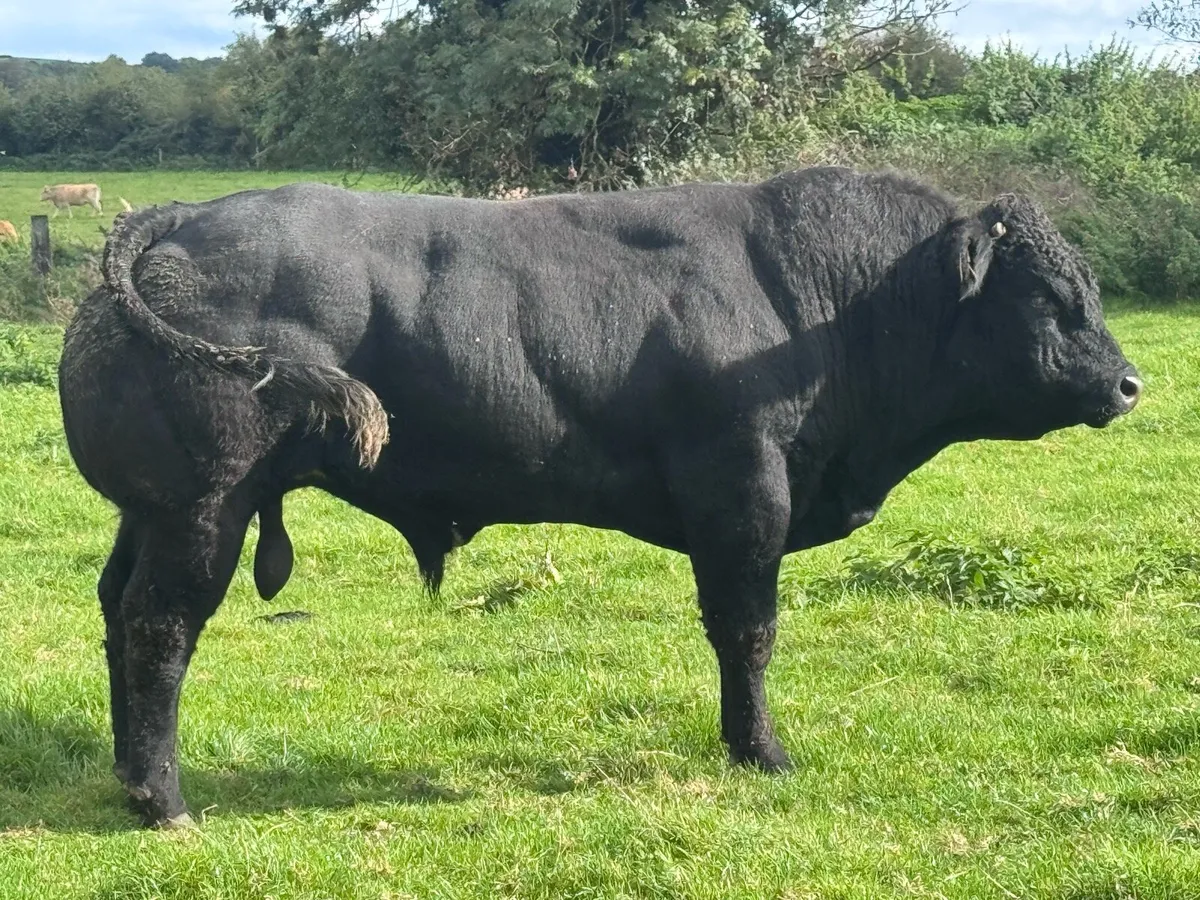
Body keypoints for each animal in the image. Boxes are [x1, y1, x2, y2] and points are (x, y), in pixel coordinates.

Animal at [59, 167, 1142, 828]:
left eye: (1084, 287)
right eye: (1049, 297)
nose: (1129, 383)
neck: (821, 306)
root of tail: (182, 218)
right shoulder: (743, 495)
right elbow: (747, 632)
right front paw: (761, 751)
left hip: (147, 509)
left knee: (115, 610)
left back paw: (122, 771)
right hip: (204, 507)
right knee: (159, 627)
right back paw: (162, 799)